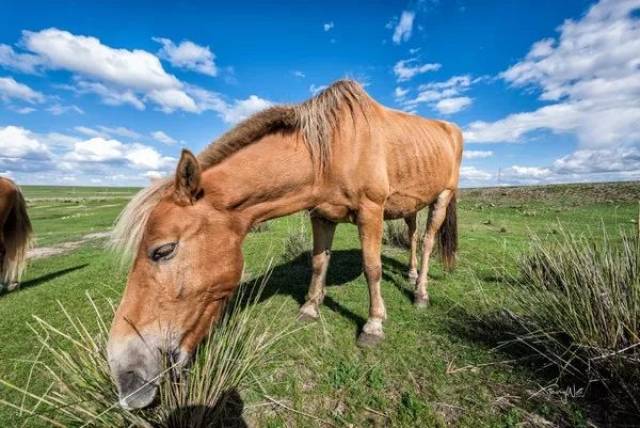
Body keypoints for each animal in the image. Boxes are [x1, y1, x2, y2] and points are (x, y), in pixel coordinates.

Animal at [107, 80, 462, 408]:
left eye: (163, 250)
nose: (125, 374)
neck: (333, 151)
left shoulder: (371, 211)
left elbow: (372, 268)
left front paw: (373, 325)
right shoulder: (321, 215)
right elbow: (319, 261)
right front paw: (310, 307)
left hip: (442, 197)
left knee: (427, 241)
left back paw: (420, 292)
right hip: (411, 204)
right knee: (412, 236)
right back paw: (411, 275)